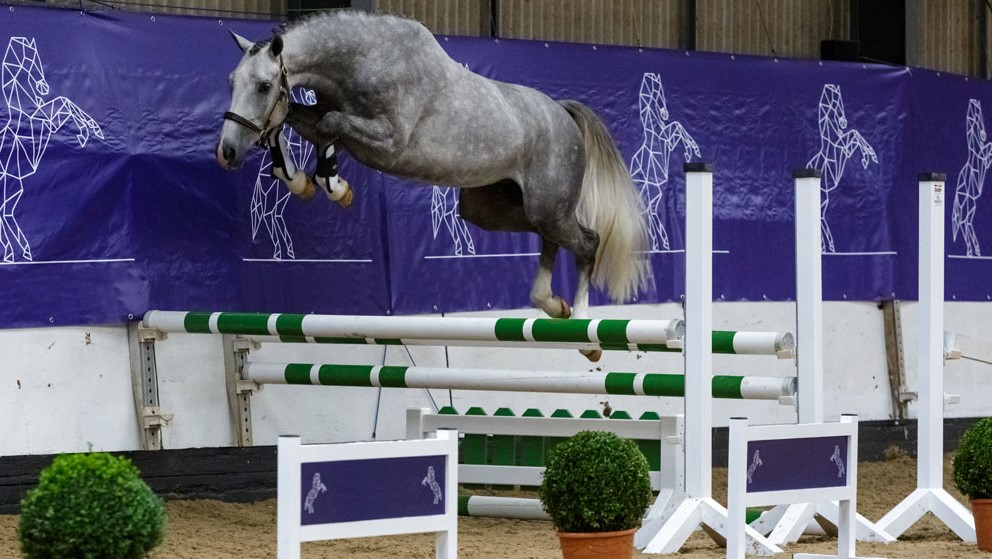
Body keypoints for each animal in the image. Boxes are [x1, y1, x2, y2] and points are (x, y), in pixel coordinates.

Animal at [0, 36, 103, 262]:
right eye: (31, 61)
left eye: (38, 60)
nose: (45, 87)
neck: (23, 113)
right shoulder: (44, 125)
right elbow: (64, 102)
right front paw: (88, 131)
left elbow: (65, 103)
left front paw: (90, 131)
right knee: (5, 213)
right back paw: (17, 253)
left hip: (15, 186)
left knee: (6, 213)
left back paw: (19, 252)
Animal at [216, 11, 651, 359]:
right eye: (232, 81)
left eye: (263, 86)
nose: (227, 152)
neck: (365, 62)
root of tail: (561, 112)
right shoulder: (328, 118)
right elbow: (295, 120)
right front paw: (302, 181)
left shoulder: (388, 141)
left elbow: (327, 125)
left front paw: (331, 184)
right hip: (494, 210)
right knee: (551, 239)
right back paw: (553, 305)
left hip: (547, 206)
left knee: (588, 242)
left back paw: (585, 332)